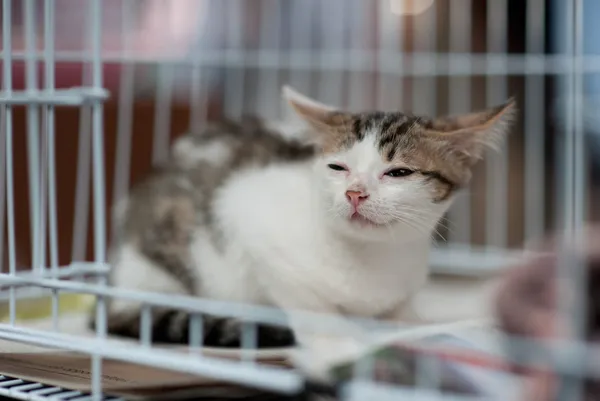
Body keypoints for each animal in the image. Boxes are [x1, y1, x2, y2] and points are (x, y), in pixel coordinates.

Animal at [90, 86, 516, 348]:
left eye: (398, 172)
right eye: (337, 167)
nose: (354, 192)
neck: (370, 259)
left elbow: (402, 314)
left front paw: (410, 324)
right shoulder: (245, 212)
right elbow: (301, 297)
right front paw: (336, 337)